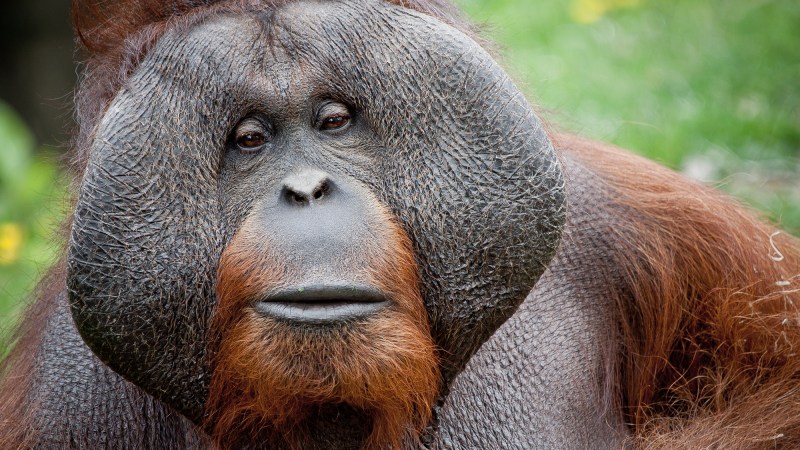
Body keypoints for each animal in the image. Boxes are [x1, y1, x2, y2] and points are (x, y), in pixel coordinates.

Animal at [1, 0, 799, 448]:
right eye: (250, 139)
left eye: (332, 120)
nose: (307, 189)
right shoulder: (65, 394)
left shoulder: (631, 217)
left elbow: (778, 380)